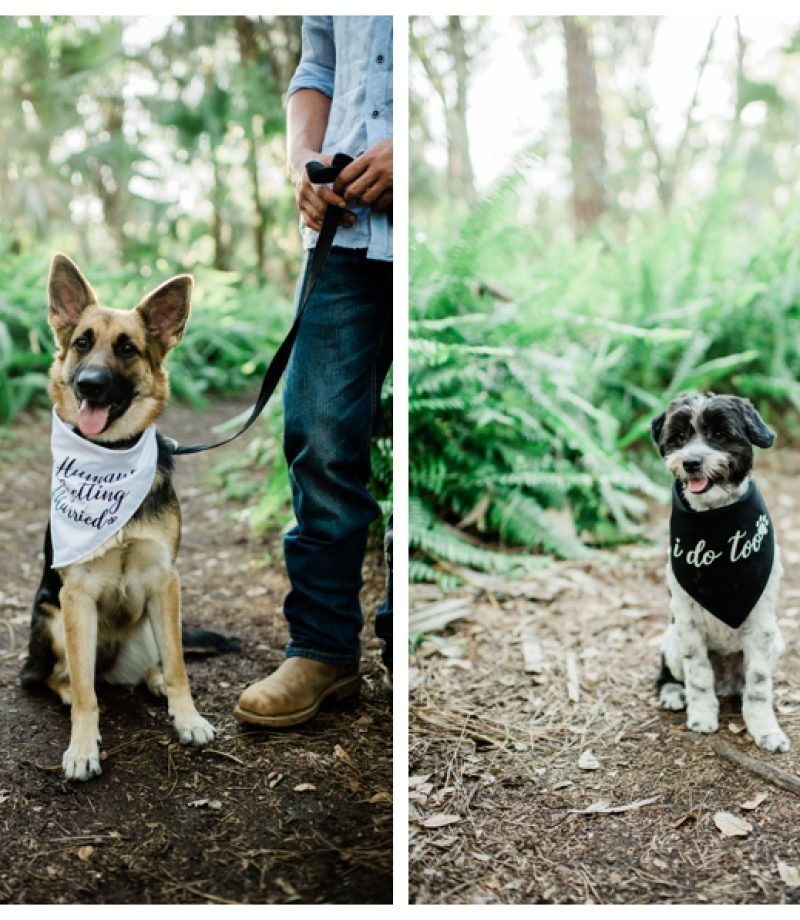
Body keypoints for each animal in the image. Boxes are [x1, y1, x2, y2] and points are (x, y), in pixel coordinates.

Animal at [21, 255, 219, 780]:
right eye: (82, 343)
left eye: (127, 348)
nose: (89, 384)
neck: (110, 455)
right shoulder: (75, 594)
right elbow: (85, 693)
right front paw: (82, 748)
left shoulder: (164, 581)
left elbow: (179, 666)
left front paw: (187, 718)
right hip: (53, 617)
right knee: (57, 677)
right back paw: (67, 691)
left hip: (151, 620)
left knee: (153, 663)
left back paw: (154, 681)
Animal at [652, 392, 792, 752]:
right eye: (679, 437)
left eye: (720, 434)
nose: (691, 462)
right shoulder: (687, 624)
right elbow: (699, 675)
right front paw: (702, 717)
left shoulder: (762, 624)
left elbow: (759, 685)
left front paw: (765, 730)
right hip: (672, 640)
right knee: (669, 673)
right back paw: (674, 692)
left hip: (777, 641)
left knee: (747, 684)